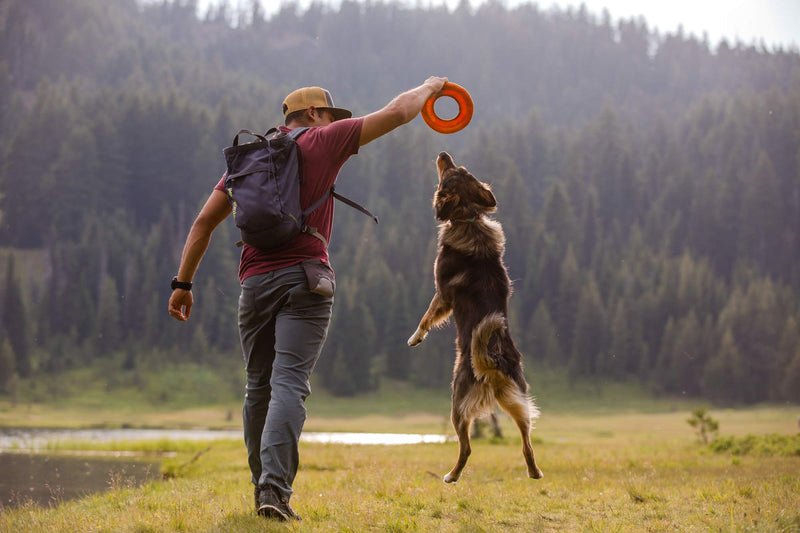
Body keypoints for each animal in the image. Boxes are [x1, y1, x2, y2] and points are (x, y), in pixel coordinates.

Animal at [406, 152, 544, 484]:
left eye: (450, 174)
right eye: (463, 169)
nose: (443, 154)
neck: (468, 218)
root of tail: (492, 360)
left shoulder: (442, 294)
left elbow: (427, 317)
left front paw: (415, 338)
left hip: (457, 403)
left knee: (466, 447)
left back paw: (451, 476)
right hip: (518, 400)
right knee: (527, 443)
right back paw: (534, 472)